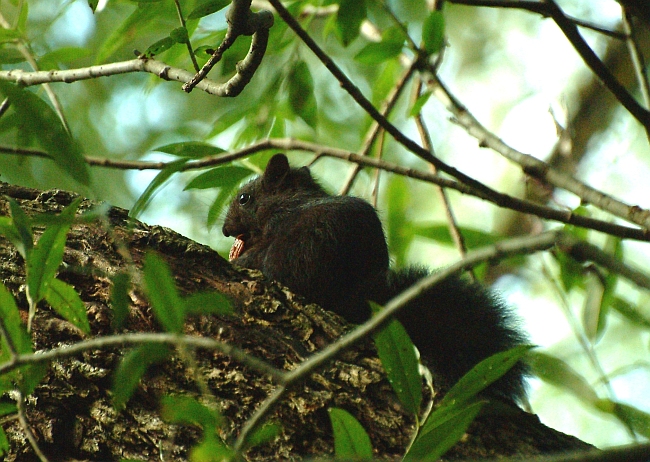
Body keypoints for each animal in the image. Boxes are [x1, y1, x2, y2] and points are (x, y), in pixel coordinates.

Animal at [221, 153, 528, 402]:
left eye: (244, 198)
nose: (224, 230)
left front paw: (243, 259)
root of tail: (357, 300)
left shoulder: (279, 225)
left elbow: (262, 250)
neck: (286, 201)